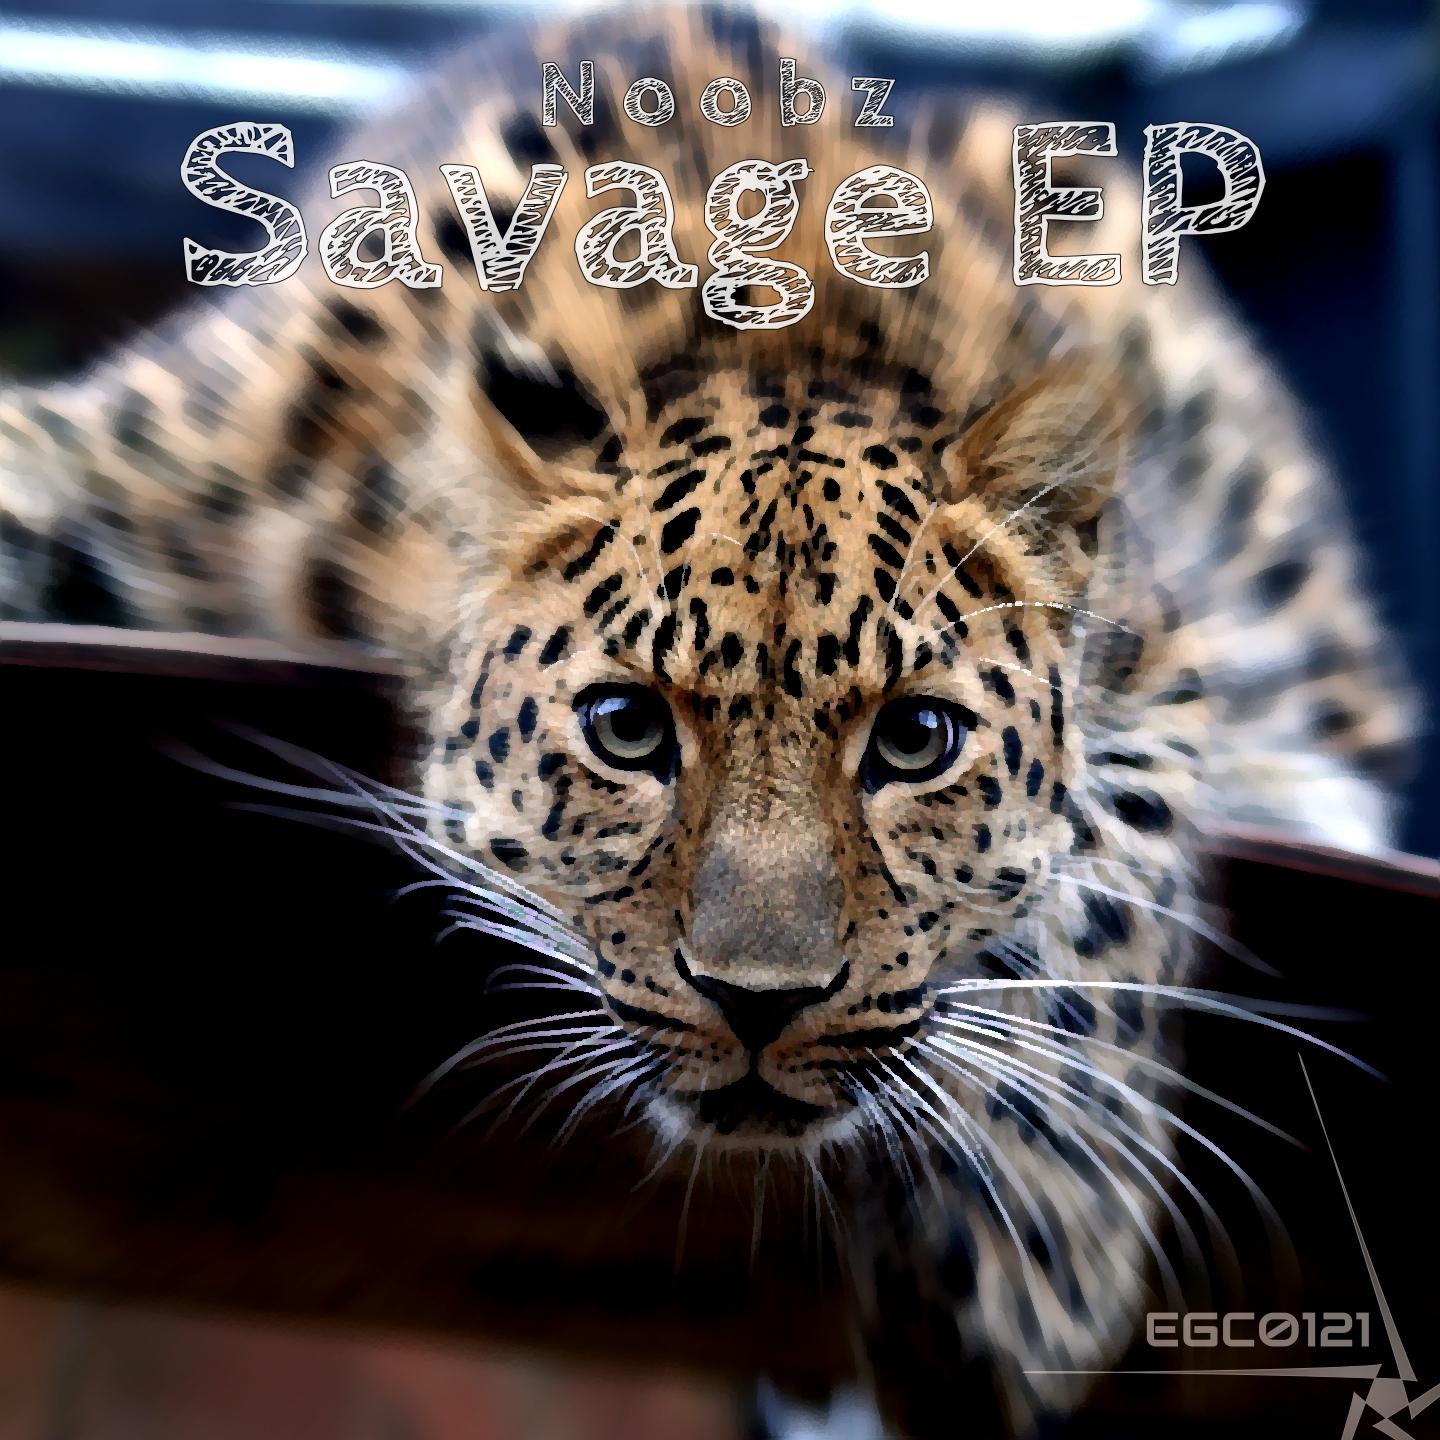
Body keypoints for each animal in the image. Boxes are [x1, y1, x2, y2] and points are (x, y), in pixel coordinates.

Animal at [0, 6, 1417, 1436]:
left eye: (916, 741)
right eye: (627, 728)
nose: (758, 1005)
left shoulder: (1159, 652)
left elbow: (1113, 877)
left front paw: (1041, 1252)